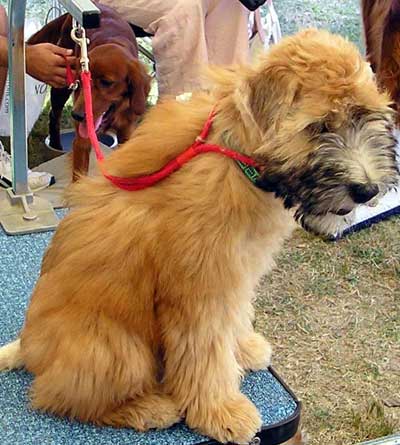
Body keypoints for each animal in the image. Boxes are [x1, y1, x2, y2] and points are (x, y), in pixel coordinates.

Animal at [0, 29, 398, 442]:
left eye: (366, 117)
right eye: (320, 126)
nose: (367, 191)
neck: (238, 160)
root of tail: (31, 349)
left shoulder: (237, 273)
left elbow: (234, 320)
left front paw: (242, 349)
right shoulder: (199, 292)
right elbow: (205, 354)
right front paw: (220, 410)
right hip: (117, 348)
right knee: (64, 396)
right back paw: (147, 408)